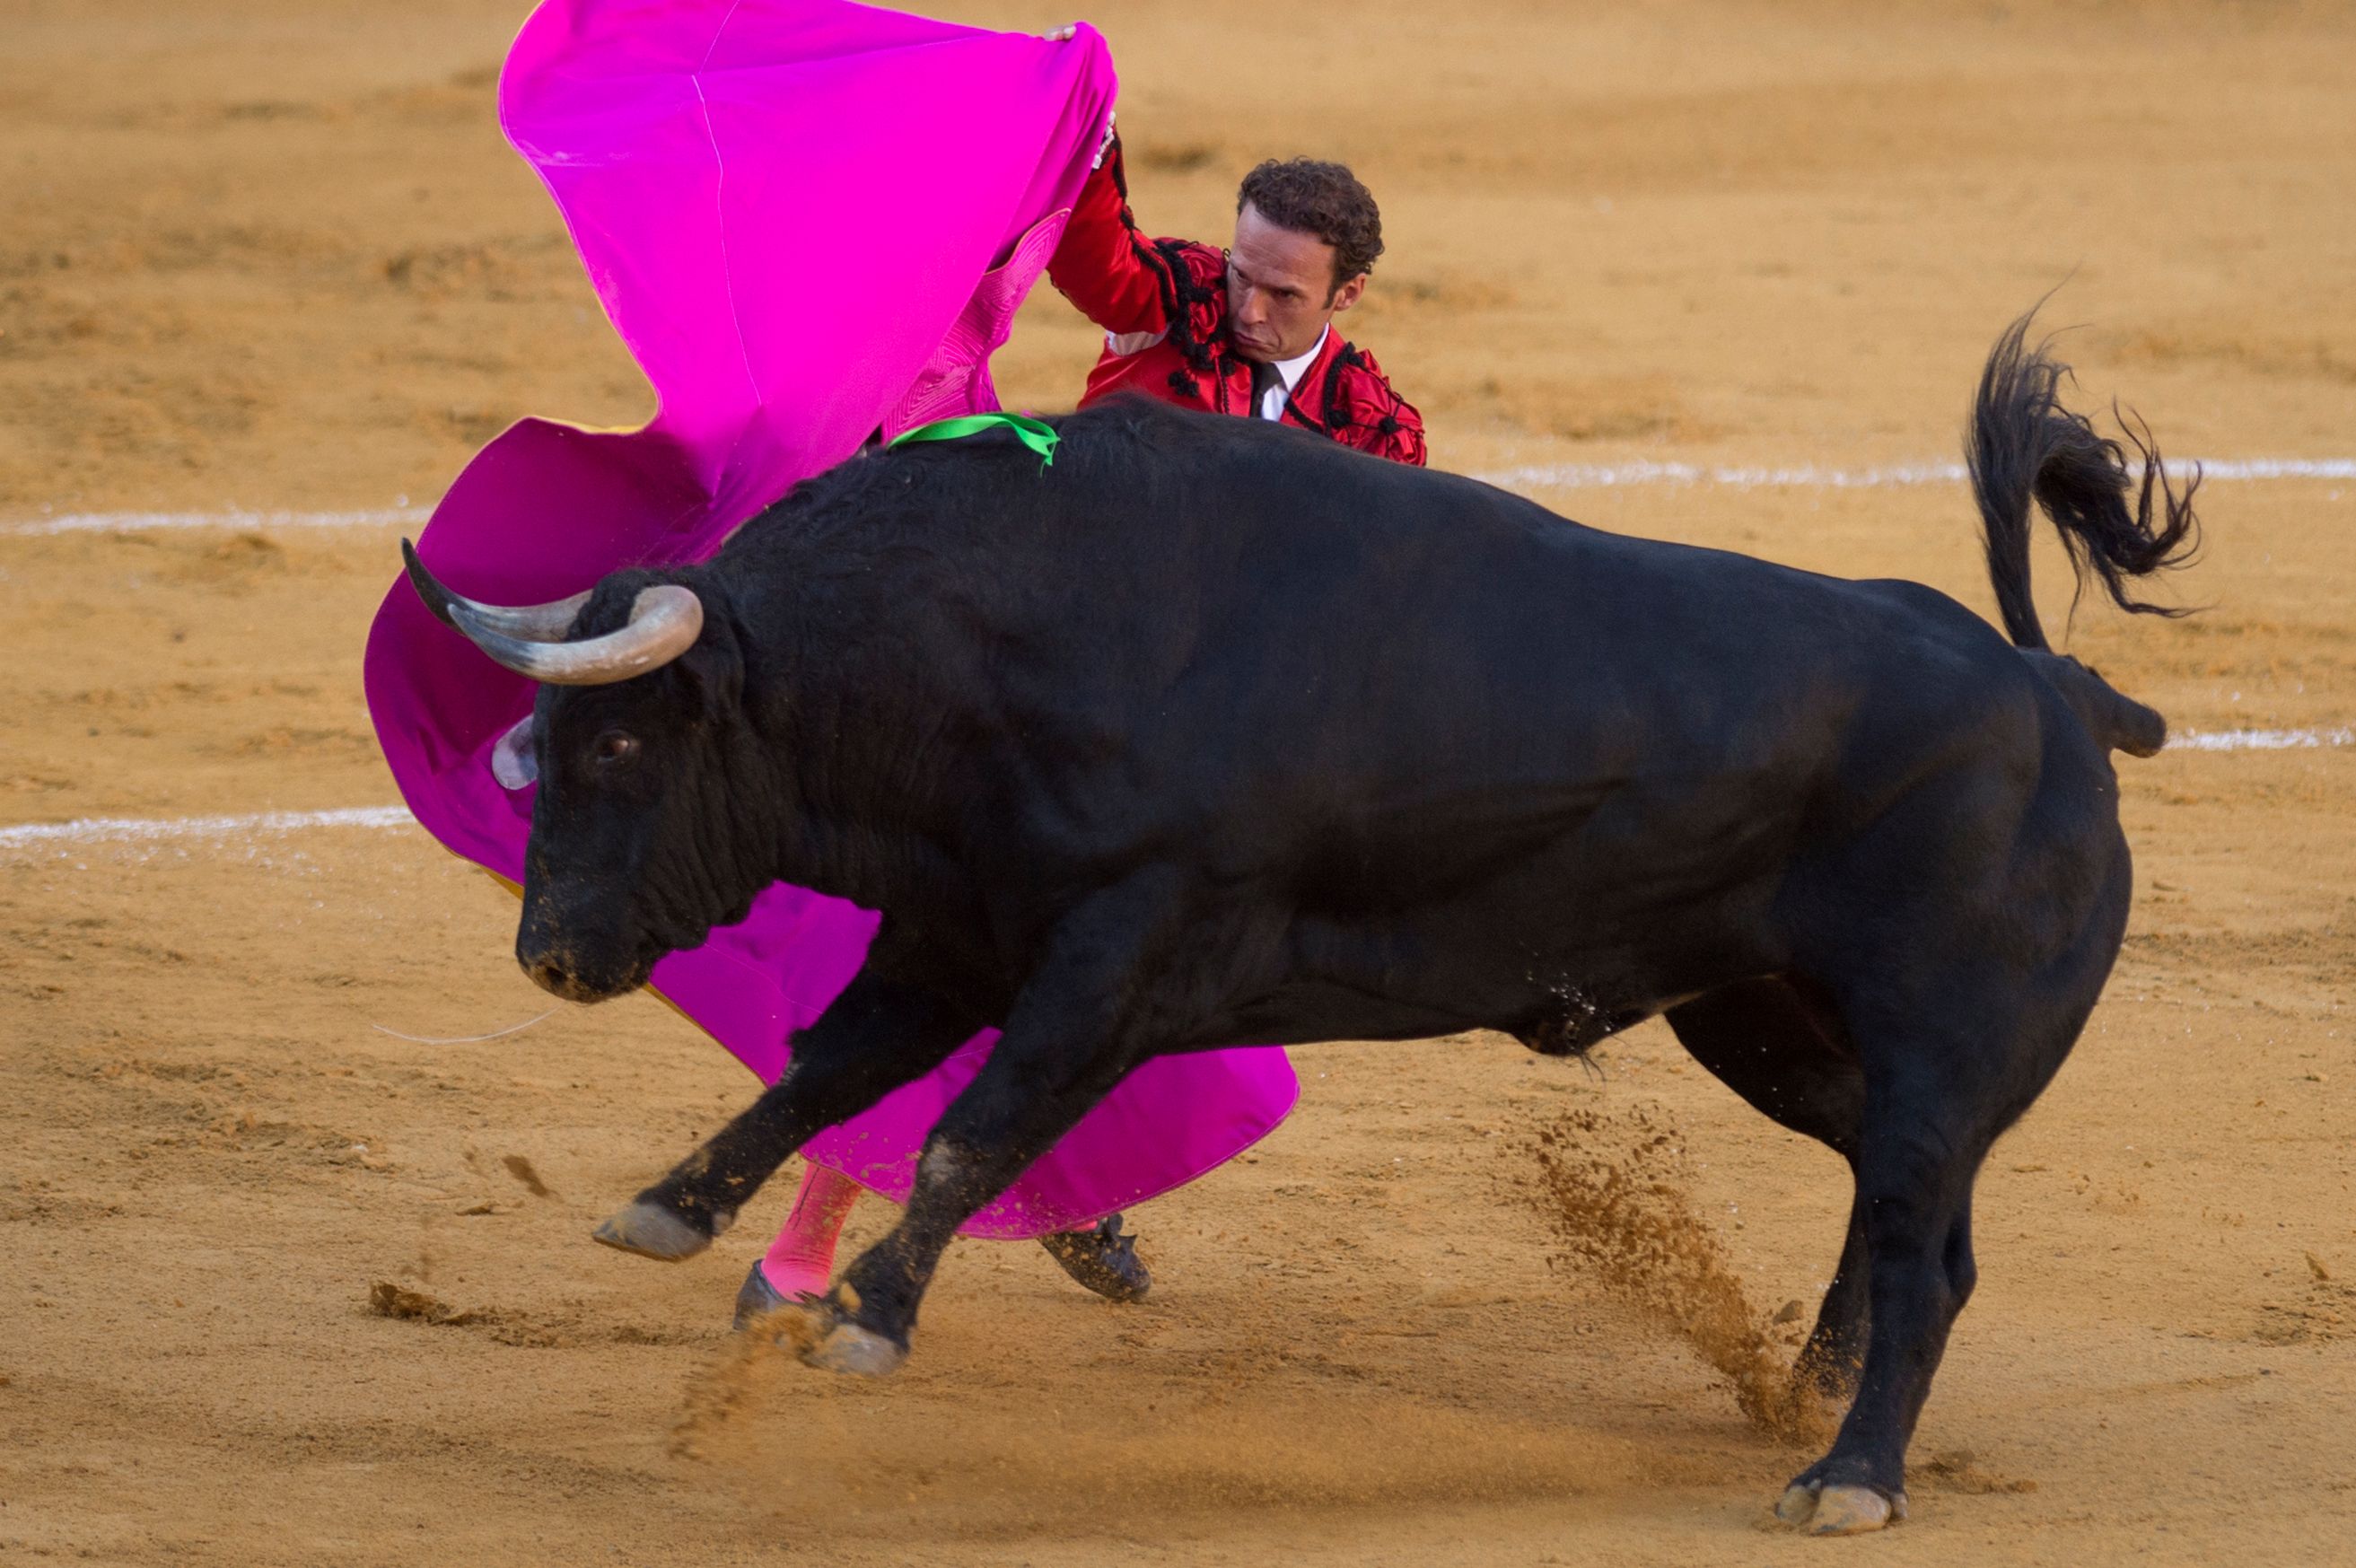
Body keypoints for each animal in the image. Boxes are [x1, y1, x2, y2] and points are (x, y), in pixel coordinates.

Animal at [400, 315, 2186, 1525]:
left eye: (624, 744)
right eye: (547, 740)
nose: (552, 955)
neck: (1009, 631)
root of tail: (2057, 695)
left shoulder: (1124, 952)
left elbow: (972, 1128)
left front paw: (867, 1320)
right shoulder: (963, 924)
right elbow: (830, 1069)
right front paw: (668, 1209)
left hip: (1938, 1038)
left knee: (1925, 1238)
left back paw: (1850, 1474)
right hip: (1759, 1015)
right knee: (1897, 1206)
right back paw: (1805, 1395)